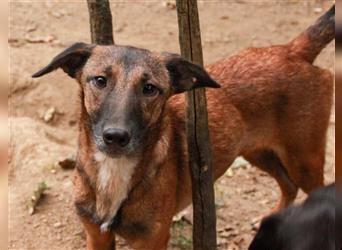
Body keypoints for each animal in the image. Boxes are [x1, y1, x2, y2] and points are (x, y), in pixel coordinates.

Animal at [32, 5, 334, 250]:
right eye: (99, 80)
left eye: (150, 88)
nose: (115, 137)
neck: (113, 172)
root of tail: (293, 50)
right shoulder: (96, 234)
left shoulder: (152, 240)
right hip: (257, 151)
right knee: (288, 185)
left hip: (304, 158)